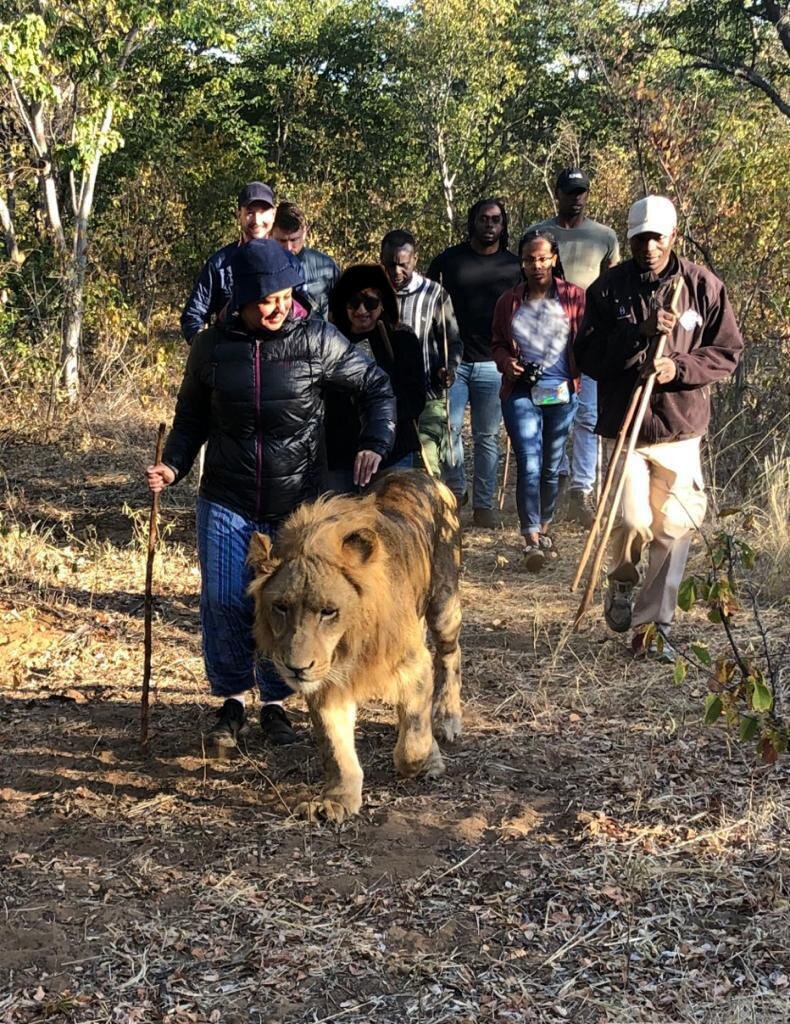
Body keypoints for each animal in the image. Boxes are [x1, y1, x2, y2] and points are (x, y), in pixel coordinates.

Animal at [246, 471, 463, 823]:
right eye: (280, 607)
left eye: (328, 611)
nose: (296, 668)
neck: (351, 644)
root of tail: (420, 473)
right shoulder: (327, 685)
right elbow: (336, 749)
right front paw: (337, 801)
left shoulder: (413, 663)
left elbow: (412, 742)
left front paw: (423, 760)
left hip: (444, 605)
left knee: (450, 656)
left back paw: (447, 719)